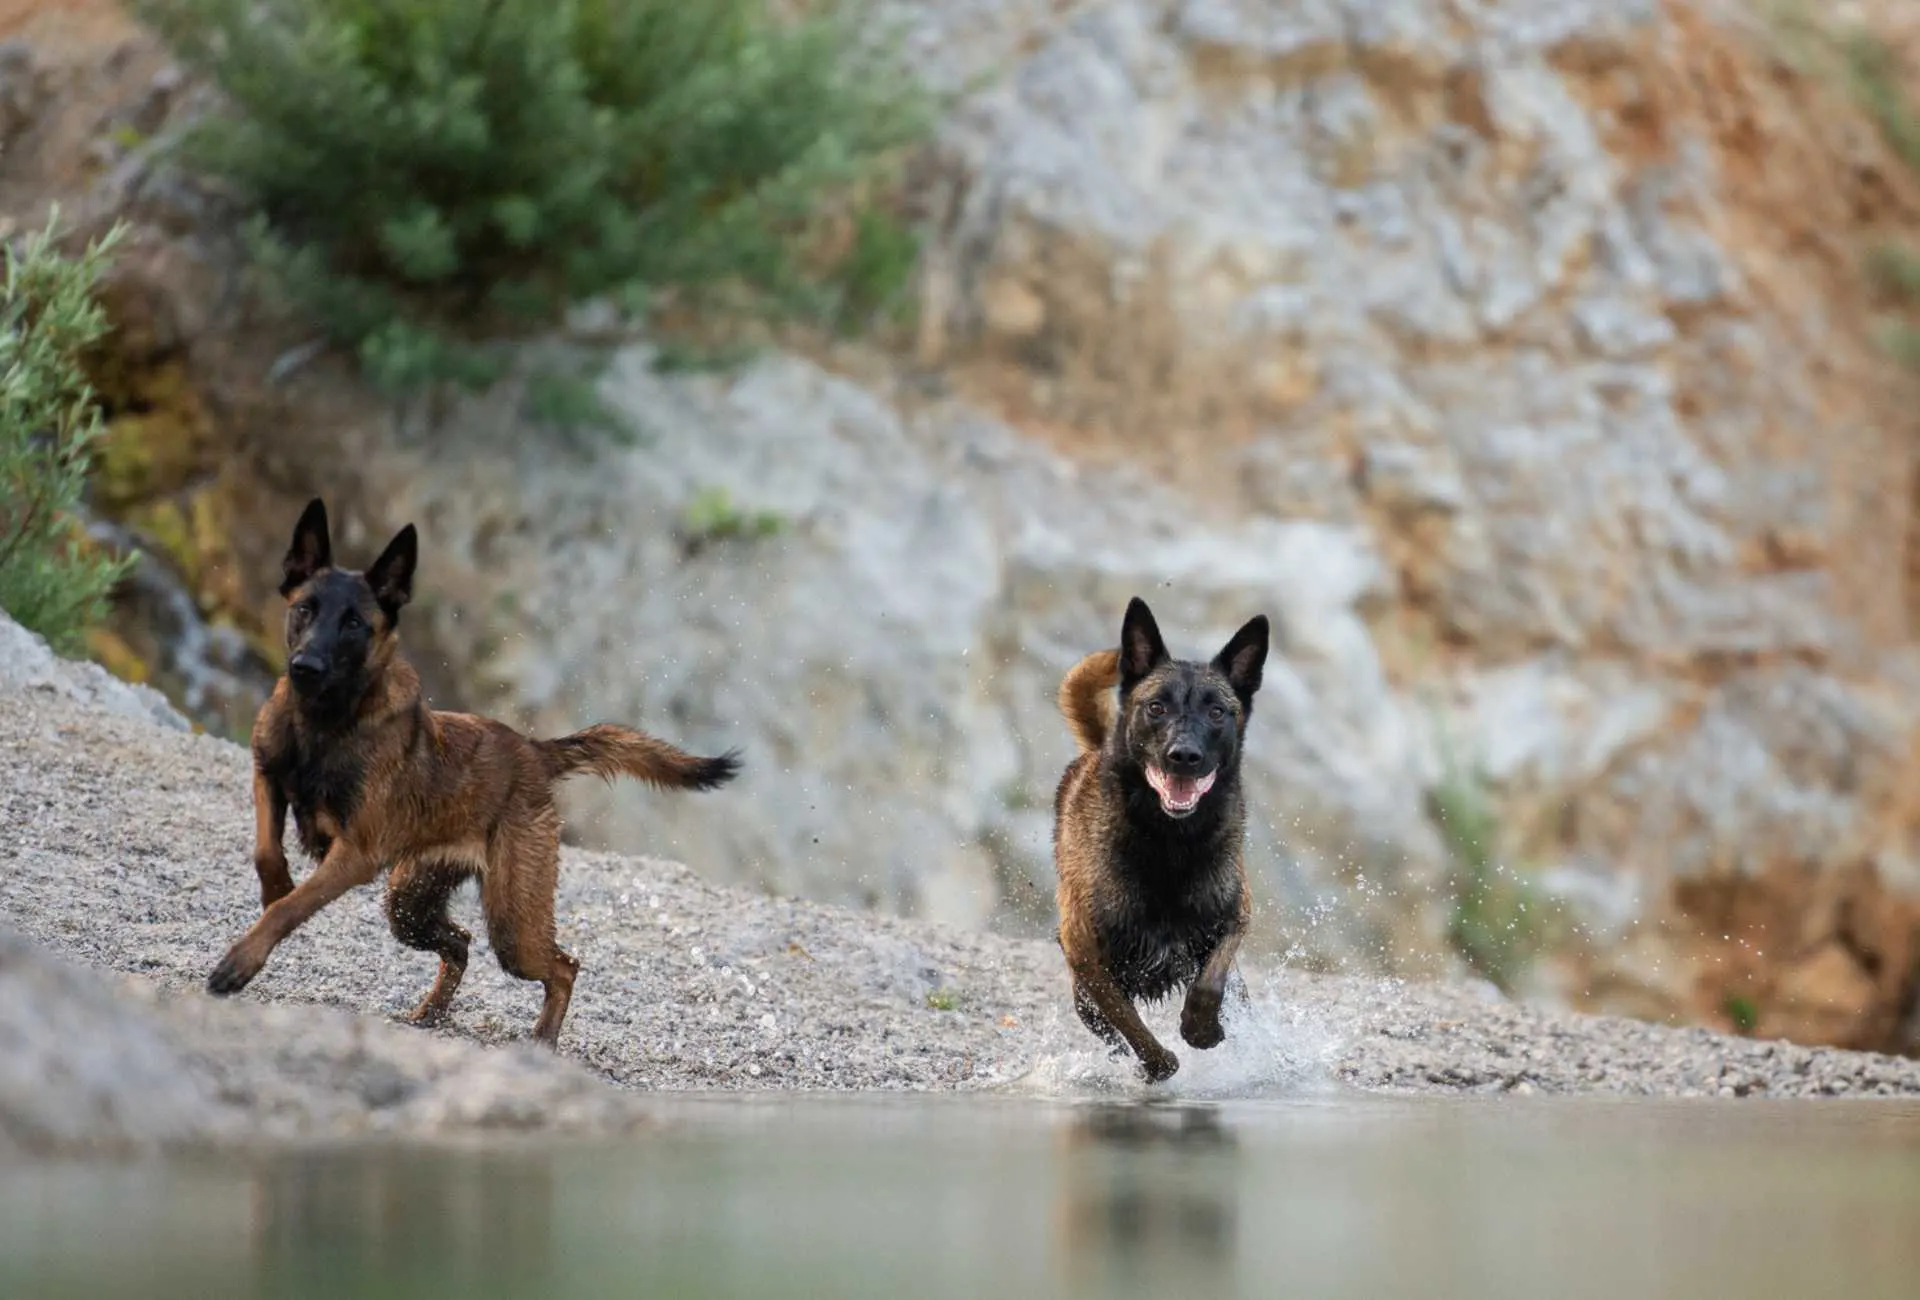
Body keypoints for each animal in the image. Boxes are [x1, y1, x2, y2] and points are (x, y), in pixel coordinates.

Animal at [204, 495, 741, 1044]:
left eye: (355, 624)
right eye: (304, 609)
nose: (305, 667)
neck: (325, 721)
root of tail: (532, 750)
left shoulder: (355, 854)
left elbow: (291, 908)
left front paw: (241, 960)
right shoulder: (268, 776)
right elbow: (265, 852)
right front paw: (273, 887)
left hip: (510, 921)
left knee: (562, 966)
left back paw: (541, 1042)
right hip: (410, 902)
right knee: (460, 942)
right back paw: (431, 1014)